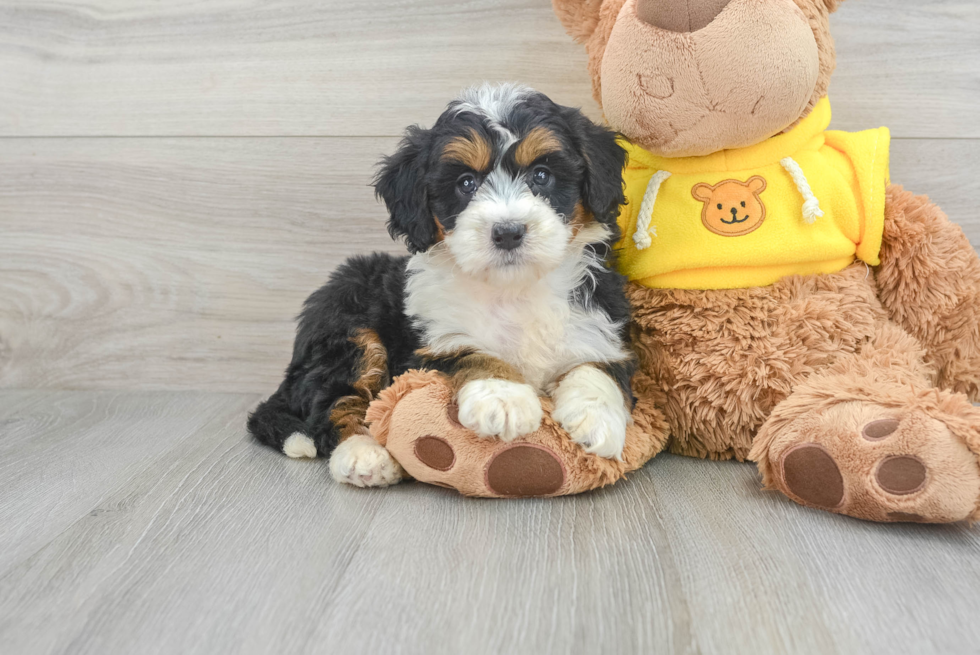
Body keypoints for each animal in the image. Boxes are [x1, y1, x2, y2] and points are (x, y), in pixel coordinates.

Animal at [247, 84, 636, 486]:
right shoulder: (426, 347)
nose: (508, 232)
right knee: (332, 403)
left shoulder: (600, 322)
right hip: (347, 325)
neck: (512, 288)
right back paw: (363, 455)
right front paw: (503, 396)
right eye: (466, 183)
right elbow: (470, 351)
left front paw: (596, 419)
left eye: (542, 176)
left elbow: (598, 365)